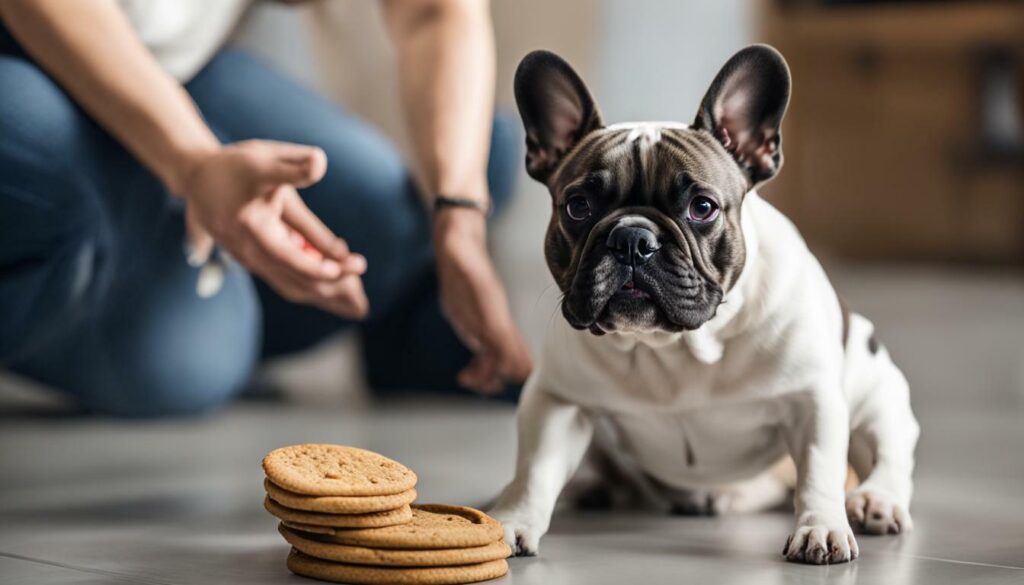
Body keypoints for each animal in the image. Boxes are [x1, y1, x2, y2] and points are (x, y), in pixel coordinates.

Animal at [487, 46, 921, 569]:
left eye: (703, 207)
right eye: (577, 206)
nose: (633, 238)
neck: (675, 346)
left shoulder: (811, 401)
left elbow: (819, 469)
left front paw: (820, 528)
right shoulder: (558, 402)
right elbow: (534, 471)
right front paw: (512, 521)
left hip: (880, 393)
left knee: (888, 452)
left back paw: (876, 500)